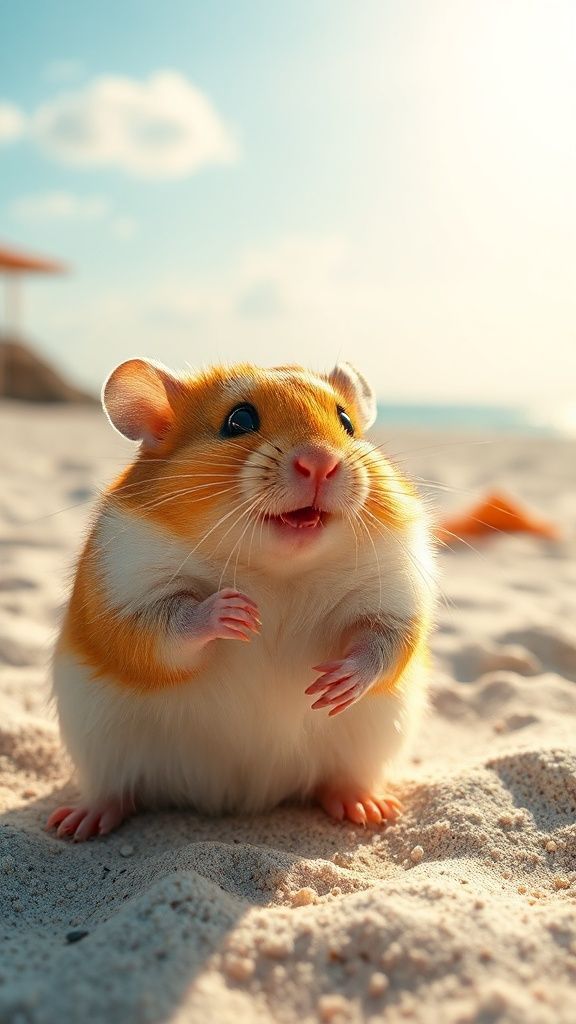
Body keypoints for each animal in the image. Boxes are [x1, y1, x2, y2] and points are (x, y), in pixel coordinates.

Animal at [47, 359, 435, 841]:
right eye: (239, 421)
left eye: (346, 422)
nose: (321, 463)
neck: (280, 569)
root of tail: (241, 796)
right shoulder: (127, 596)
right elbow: (167, 631)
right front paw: (237, 613)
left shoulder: (395, 603)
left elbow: (383, 646)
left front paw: (335, 685)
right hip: (100, 749)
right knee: (116, 791)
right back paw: (78, 823)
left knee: (340, 781)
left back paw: (368, 808)